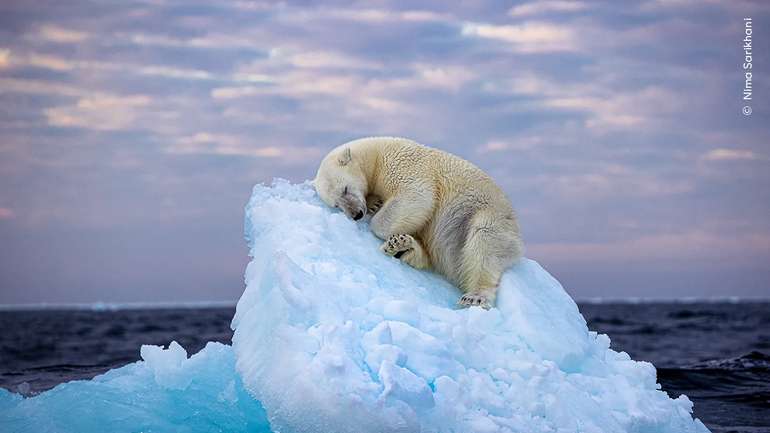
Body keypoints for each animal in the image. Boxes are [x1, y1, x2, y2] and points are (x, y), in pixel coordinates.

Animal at [312, 136, 520, 308]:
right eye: (336, 204)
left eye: (345, 189)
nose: (356, 214)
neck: (376, 155)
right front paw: (374, 203)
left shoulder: (403, 165)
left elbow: (417, 196)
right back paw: (402, 247)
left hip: (486, 215)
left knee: (484, 243)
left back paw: (475, 296)